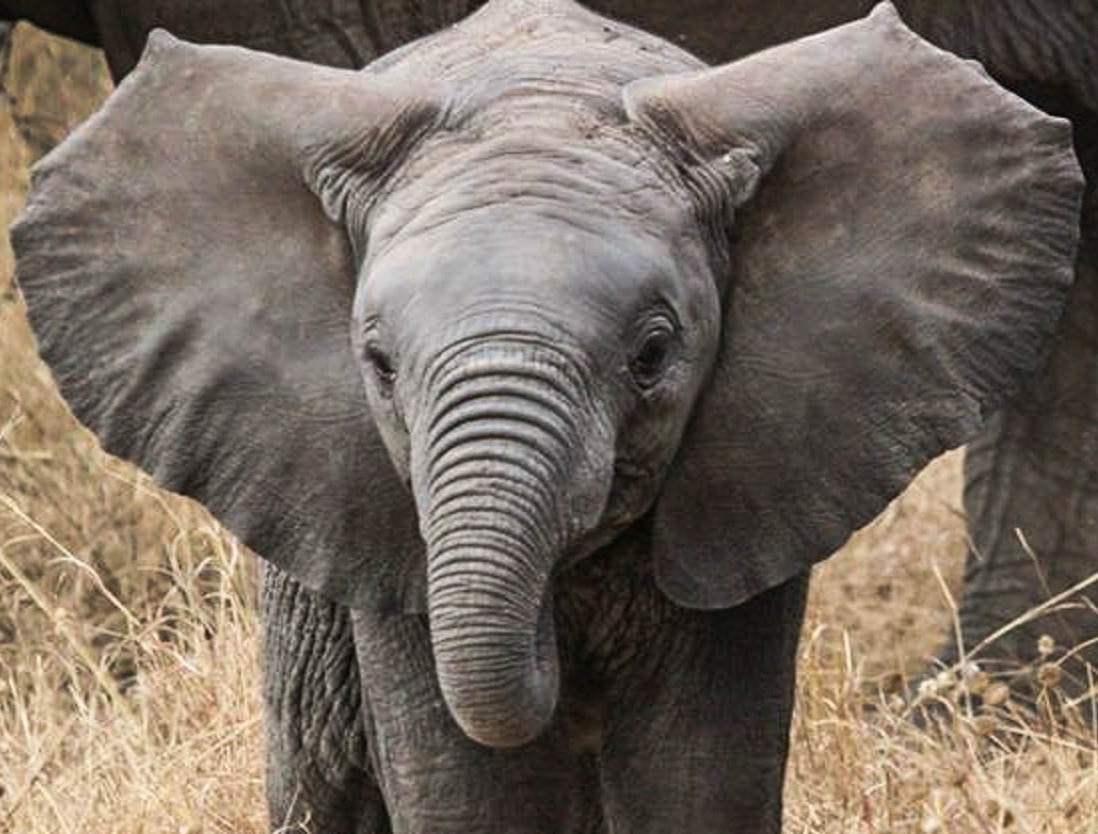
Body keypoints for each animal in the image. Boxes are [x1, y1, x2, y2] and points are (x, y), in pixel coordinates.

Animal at [12, 0, 1084, 829]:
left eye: (653, 355)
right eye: (379, 367)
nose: (557, 653)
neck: (542, 94)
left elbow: (698, 777)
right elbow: (468, 789)